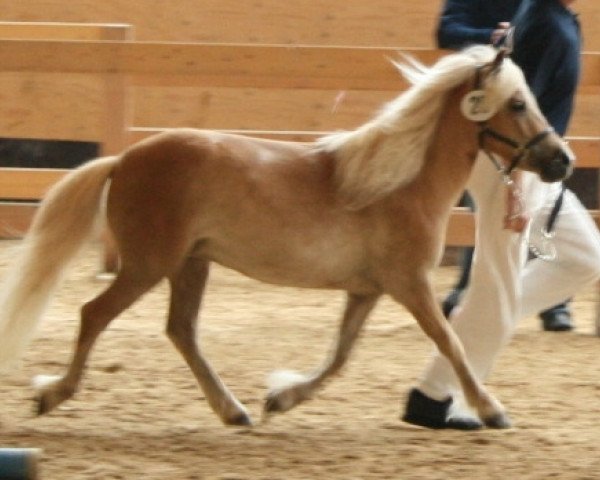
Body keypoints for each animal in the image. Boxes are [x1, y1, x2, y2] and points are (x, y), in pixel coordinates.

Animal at [0, 45, 572, 428]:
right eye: (517, 104)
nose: (562, 161)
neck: (398, 183)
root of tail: (123, 160)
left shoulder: (367, 290)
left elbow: (340, 355)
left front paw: (281, 398)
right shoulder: (410, 284)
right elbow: (450, 342)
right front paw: (492, 410)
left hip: (191, 264)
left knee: (181, 330)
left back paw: (234, 411)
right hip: (149, 264)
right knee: (93, 314)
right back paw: (53, 395)